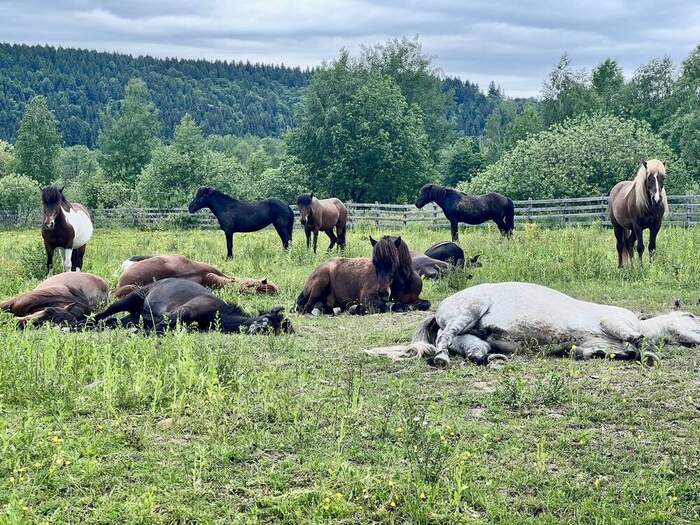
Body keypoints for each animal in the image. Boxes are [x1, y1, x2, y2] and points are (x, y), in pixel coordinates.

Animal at [94, 278, 291, 335]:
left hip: (134, 315)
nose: (257, 328)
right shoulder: (183, 312)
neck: (218, 311)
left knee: (113, 321)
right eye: (267, 318)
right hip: (129, 299)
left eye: (275, 330)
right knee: (103, 314)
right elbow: (159, 327)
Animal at [368, 282, 700, 368]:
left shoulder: (592, 343)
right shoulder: (614, 322)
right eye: (691, 317)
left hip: (473, 337)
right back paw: (441, 359)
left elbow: (592, 351)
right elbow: (636, 337)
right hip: (467, 314)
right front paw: (648, 354)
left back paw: (490, 358)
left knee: (471, 350)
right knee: (444, 341)